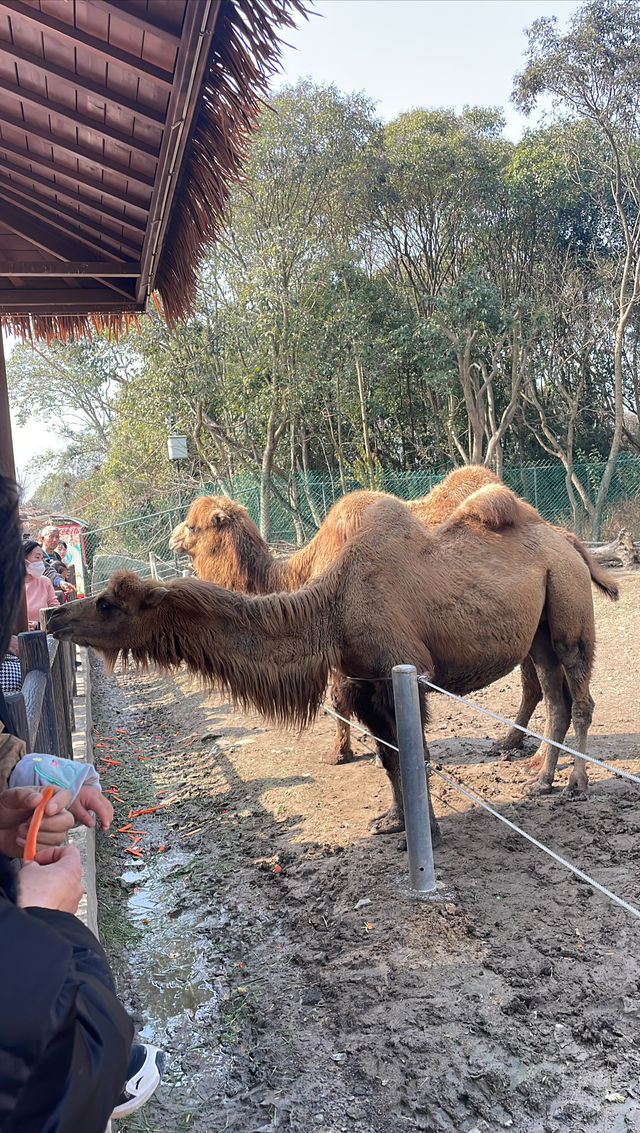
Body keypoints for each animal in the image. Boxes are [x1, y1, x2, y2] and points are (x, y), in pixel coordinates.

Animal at [168, 464, 611, 765]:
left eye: (192, 526)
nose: (172, 537)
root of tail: (562, 533)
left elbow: (339, 699)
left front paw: (340, 753)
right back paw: (512, 745)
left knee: (538, 682)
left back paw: (525, 751)